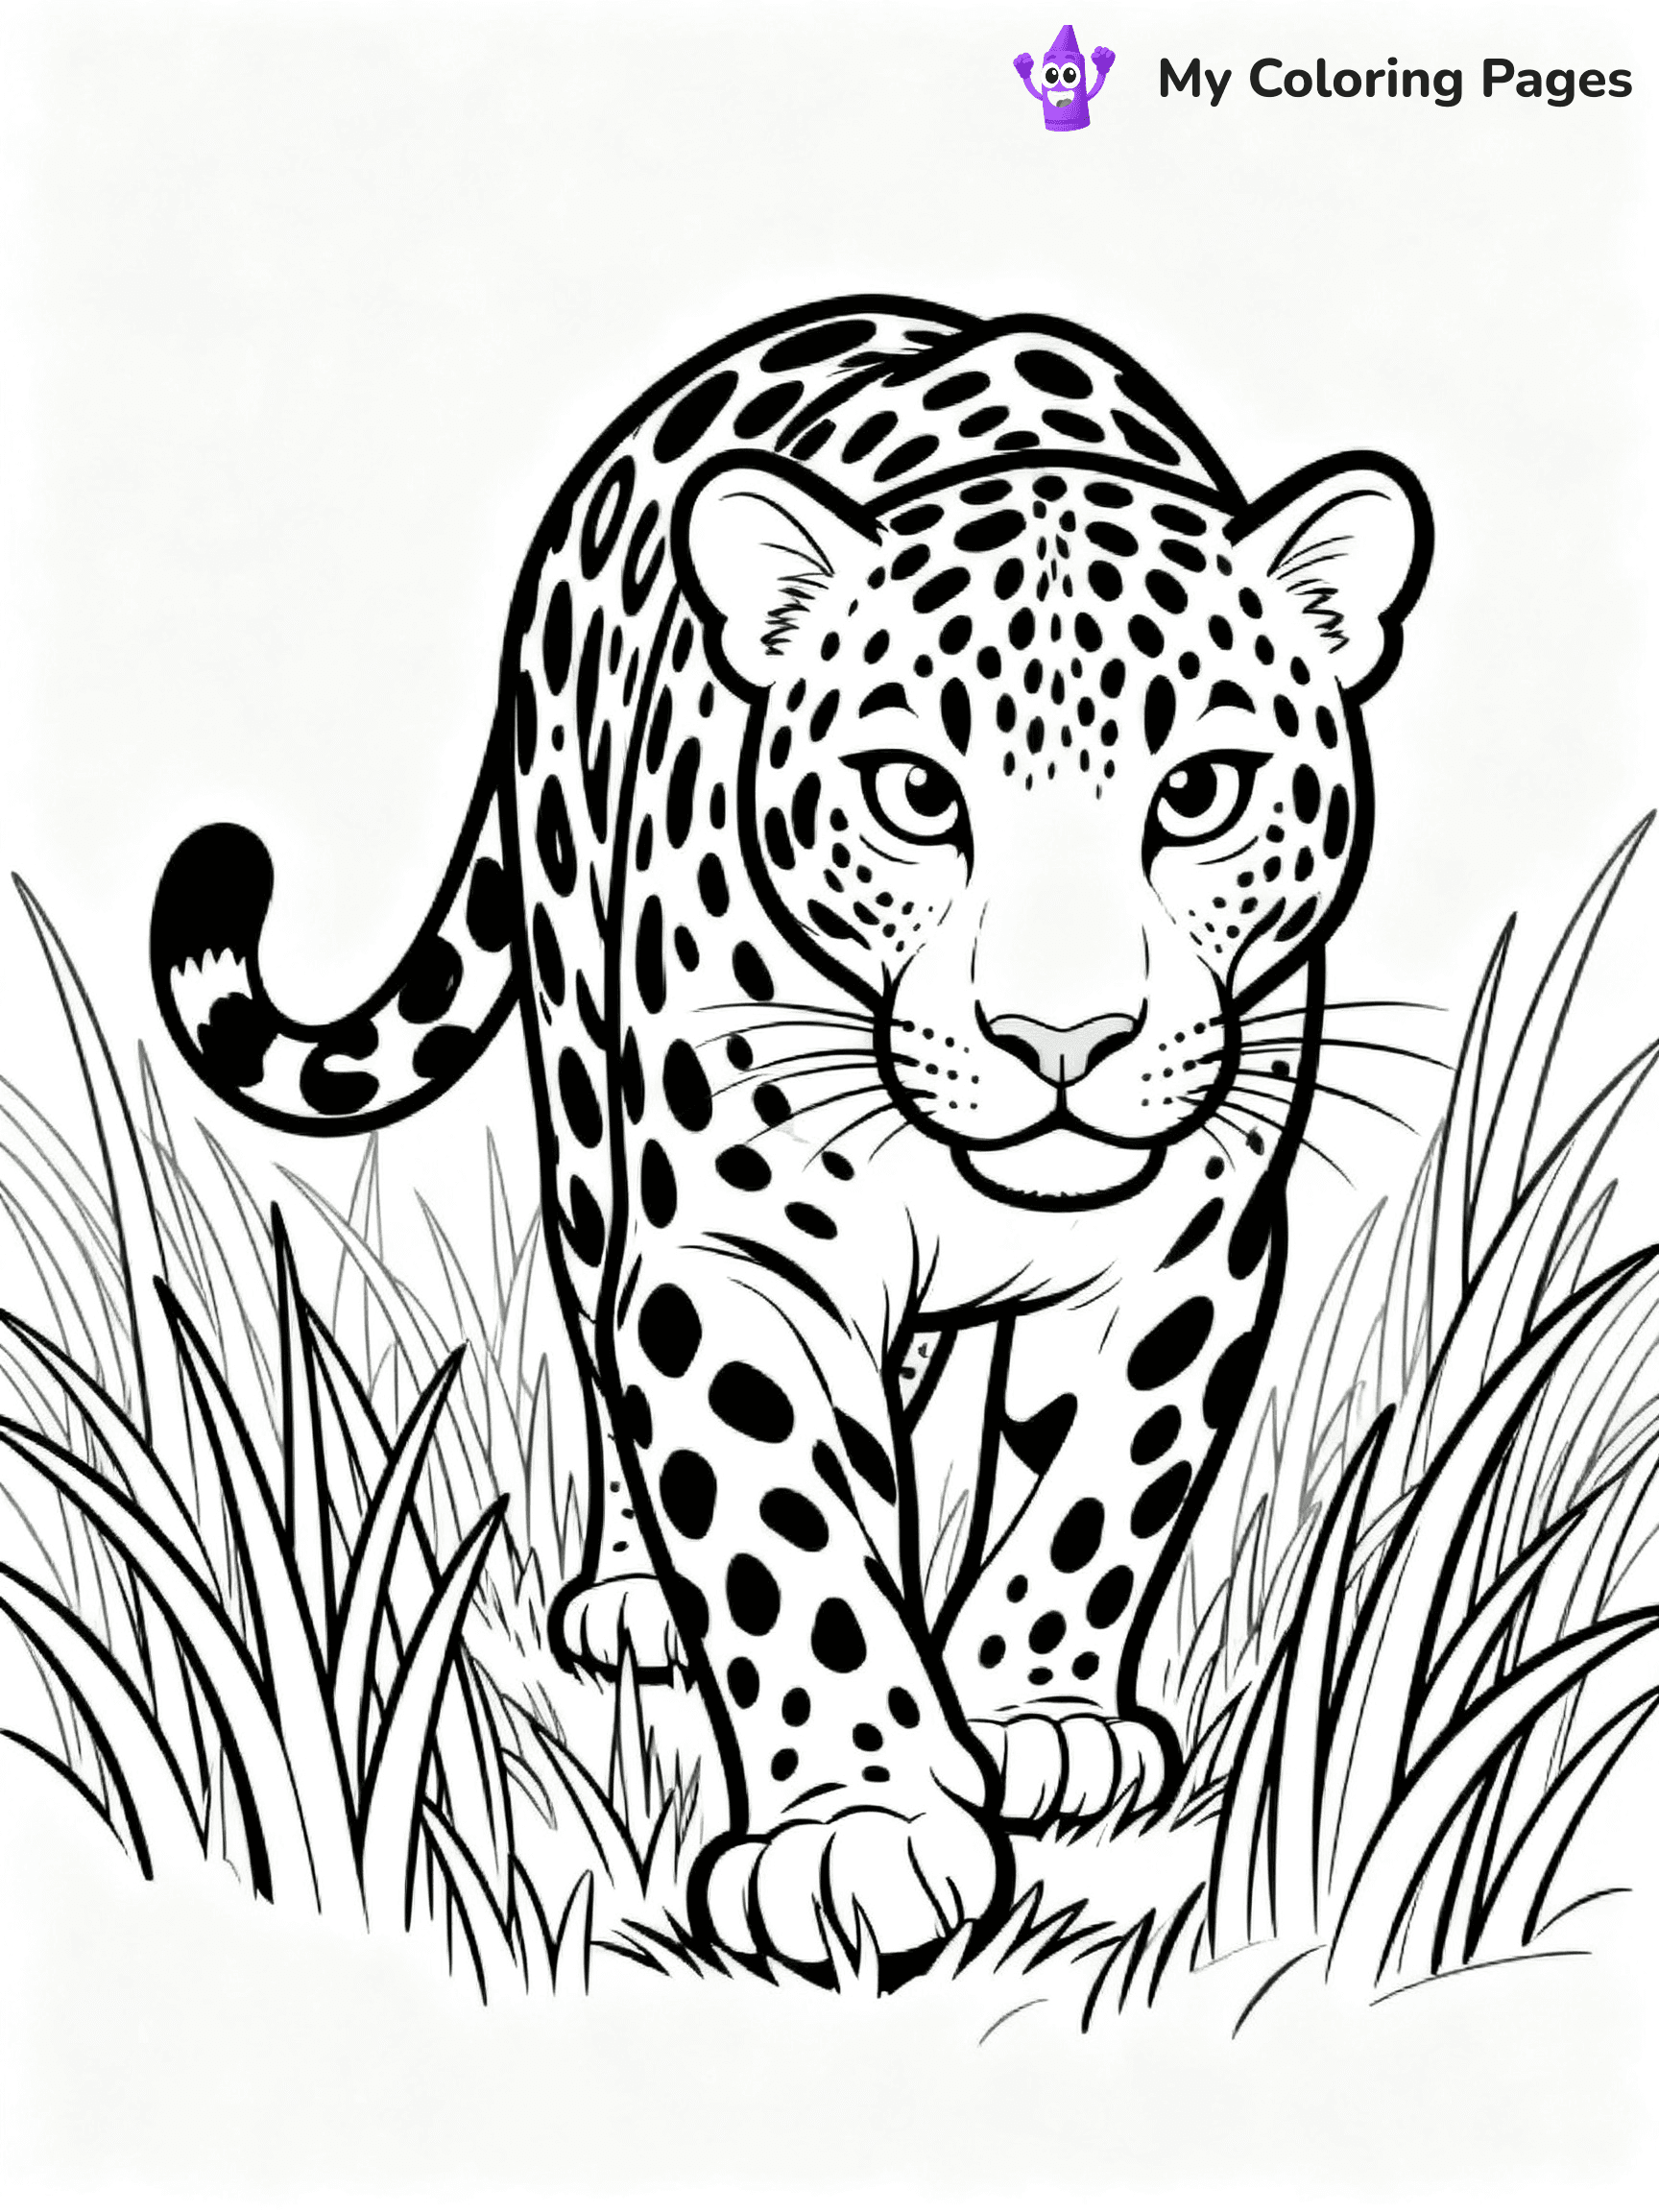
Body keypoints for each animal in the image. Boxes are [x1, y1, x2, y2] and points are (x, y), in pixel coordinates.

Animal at [149, 296, 1431, 1984]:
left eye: (1202, 792)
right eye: (914, 794)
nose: (1063, 1039)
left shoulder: (1191, 1251)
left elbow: (1097, 1485)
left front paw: (1037, 1712)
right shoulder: (734, 1257)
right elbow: (788, 1537)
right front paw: (862, 1829)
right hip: (583, 1101)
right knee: (602, 1319)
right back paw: (638, 1595)